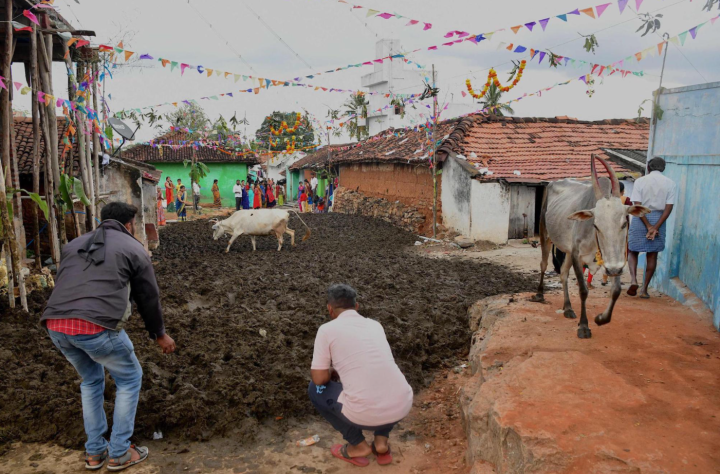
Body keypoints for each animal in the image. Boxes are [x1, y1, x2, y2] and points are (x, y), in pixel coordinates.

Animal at [532, 156, 648, 336]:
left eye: (624, 223)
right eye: (596, 225)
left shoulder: (614, 261)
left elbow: (616, 290)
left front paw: (601, 319)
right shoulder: (577, 255)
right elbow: (583, 290)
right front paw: (584, 326)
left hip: (567, 250)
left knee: (563, 273)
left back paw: (567, 307)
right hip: (546, 236)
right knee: (543, 265)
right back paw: (539, 294)